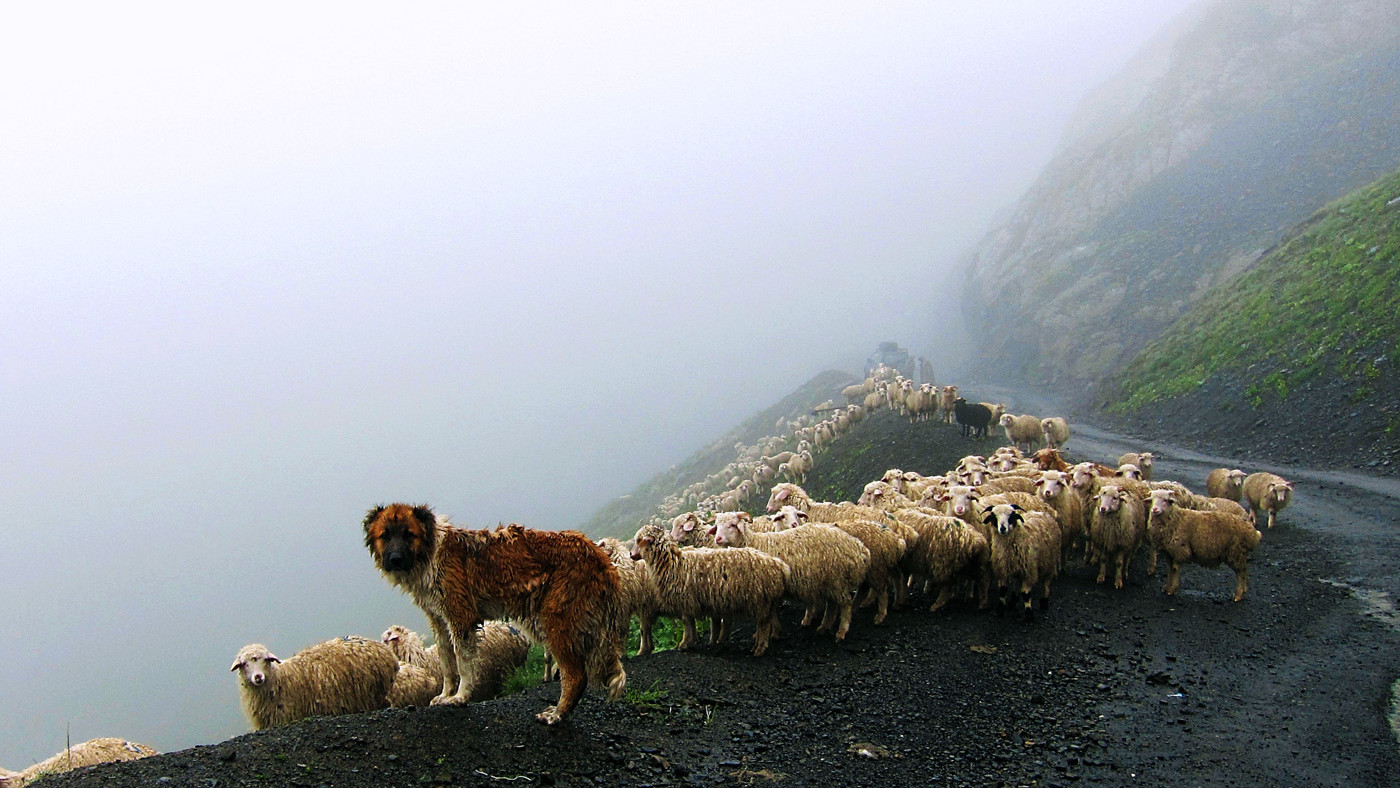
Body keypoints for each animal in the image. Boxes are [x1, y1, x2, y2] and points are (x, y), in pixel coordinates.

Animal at [226, 638, 397, 733]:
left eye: (266, 660)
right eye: (244, 663)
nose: (258, 677)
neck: (280, 679)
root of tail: (387, 653)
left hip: (373, 693)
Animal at [364, 506, 627, 722]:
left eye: (409, 534)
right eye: (385, 535)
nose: (395, 560)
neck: (430, 553)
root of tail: (597, 553)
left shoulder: (461, 618)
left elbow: (462, 664)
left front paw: (460, 697)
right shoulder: (439, 621)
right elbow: (446, 664)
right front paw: (445, 695)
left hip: (556, 621)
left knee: (576, 675)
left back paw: (557, 714)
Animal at [632, 523, 795, 660]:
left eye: (639, 540)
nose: (631, 555)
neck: (672, 562)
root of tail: (780, 566)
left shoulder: (686, 599)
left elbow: (687, 622)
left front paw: (685, 643)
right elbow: (691, 622)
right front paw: (691, 641)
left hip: (760, 599)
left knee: (763, 625)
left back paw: (759, 649)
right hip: (767, 600)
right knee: (768, 621)